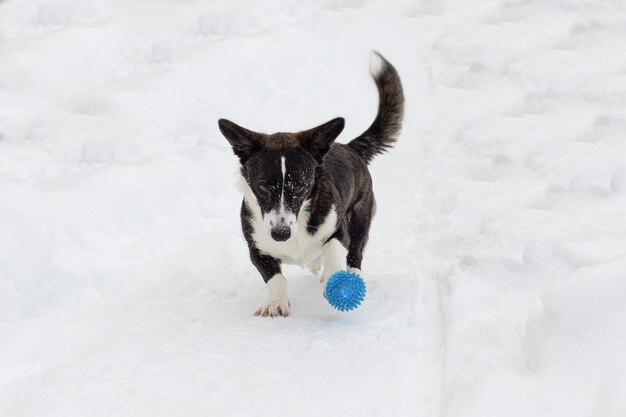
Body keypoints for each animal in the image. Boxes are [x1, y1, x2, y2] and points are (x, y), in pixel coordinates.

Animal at [219, 50, 402, 316]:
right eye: (263, 185)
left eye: (300, 186)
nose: (280, 234)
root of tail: (349, 147)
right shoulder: (256, 248)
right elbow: (275, 277)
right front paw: (275, 304)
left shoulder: (338, 230)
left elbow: (334, 249)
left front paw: (334, 280)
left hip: (360, 217)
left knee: (355, 252)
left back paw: (349, 273)